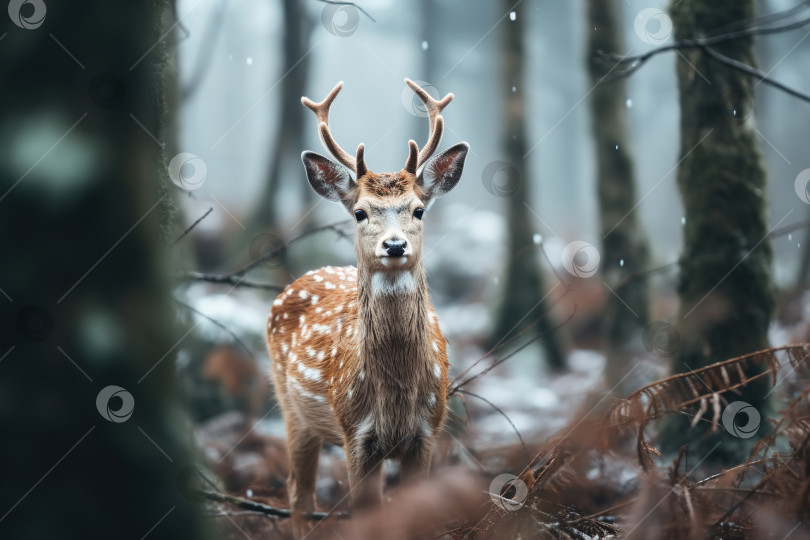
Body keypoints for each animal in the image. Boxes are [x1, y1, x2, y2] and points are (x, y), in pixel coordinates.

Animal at [266, 78, 468, 532]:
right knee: (298, 493)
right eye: (360, 212)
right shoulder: (355, 433)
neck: (395, 396)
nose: (394, 245)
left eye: (419, 209)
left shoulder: (427, 432)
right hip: (292, 409)